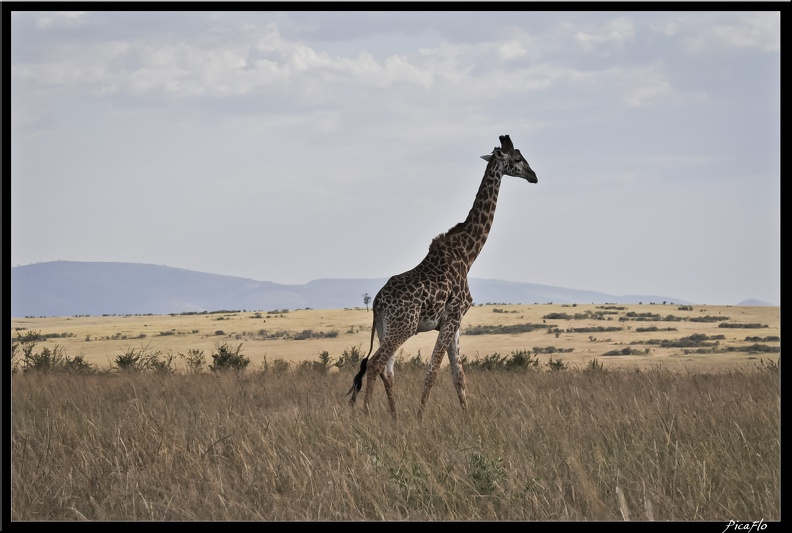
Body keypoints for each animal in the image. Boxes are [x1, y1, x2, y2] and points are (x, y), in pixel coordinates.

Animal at [348, 133, 540, 416]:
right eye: (517, 159)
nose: (534, 176)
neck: (468, 254)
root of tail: (377, 303)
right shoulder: (452, 316)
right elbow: (433, 371)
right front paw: (420, 418)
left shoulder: (455, 320)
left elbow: (458, 375)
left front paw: (467, 417)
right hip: (403, 326)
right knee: (374, 363)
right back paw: (367, 415)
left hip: (386, 328)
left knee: (387, 370)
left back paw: (394, 417)